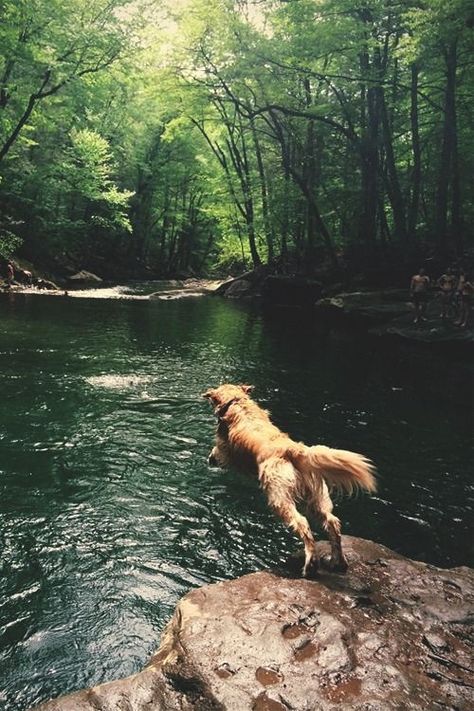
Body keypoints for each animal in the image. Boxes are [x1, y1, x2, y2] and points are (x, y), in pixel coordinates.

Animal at [202, 384, 376, 580]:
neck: (237, 403)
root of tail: (293, 449)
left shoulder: (224, 449)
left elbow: (216, 452)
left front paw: (211, 459)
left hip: (279, 498)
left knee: (303, 524)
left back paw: (310, 565)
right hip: (316, 498)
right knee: (333, 522)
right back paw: (337, 562)